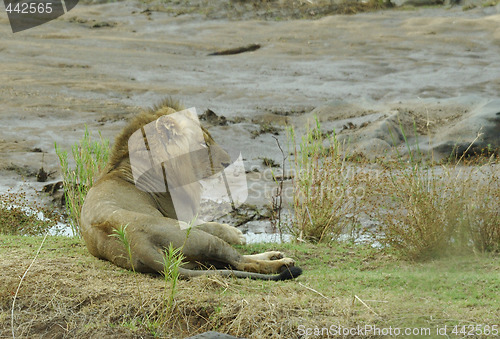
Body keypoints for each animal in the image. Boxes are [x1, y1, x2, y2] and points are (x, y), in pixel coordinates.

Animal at [80, 98, 302, 282]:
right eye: (203, 144)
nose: (228, 161)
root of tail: (136, 243)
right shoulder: (182, 217)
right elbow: (213, 224)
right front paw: (237, 234)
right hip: (195, 236)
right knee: (242, 261)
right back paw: (281, 262)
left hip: (192, 259)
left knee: (229, 263)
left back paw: (275, 255)